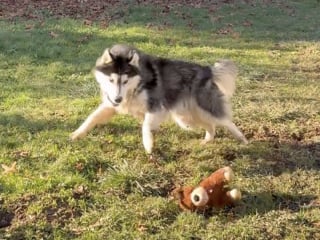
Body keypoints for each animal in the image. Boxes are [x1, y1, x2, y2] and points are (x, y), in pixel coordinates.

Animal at [71, 44, 248, 154]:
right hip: (186, 117)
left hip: (204, 107)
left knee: (225, 121)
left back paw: (243, 139)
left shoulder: (156, 107)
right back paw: (206, 141)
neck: (135, 87)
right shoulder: (110, 106)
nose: (118, 99)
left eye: (125, 81)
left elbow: (145, 126)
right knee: (210, 126)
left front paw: (148, 144)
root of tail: (207, 69)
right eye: (111, 80)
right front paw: (77, 134)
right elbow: (92, 117)